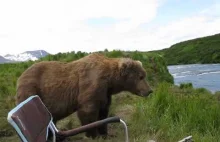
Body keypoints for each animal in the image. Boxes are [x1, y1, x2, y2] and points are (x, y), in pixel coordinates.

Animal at [15, 53, 153, 139]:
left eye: (144, 75)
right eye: (141, 77)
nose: (149, 90)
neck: (110, 80)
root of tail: (20, 76)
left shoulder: (105, 93)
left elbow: (103, 112)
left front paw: (105, 133)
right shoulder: (91, 85)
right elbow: (88, 111)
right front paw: (93, 135)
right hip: (31, 89)